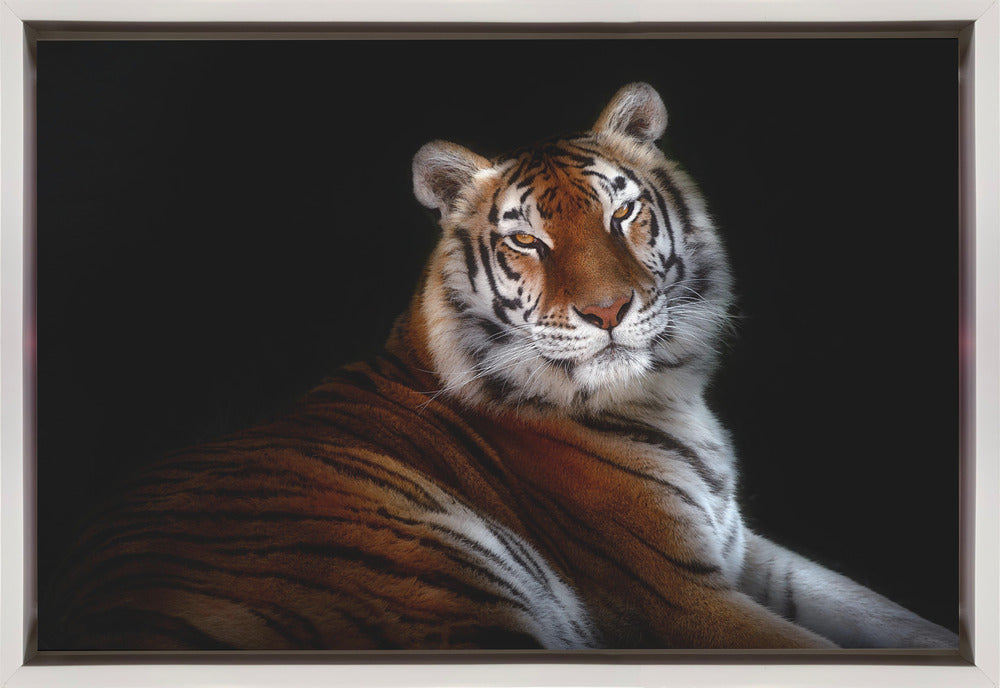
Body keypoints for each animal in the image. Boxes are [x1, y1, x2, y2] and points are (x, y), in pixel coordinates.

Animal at [44, 83, 958, 651]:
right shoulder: (681, 597)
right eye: (528, 240)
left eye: (622, 213)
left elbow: (888, 617)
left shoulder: (741, 548)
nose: (606, 312)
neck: (668, 391)